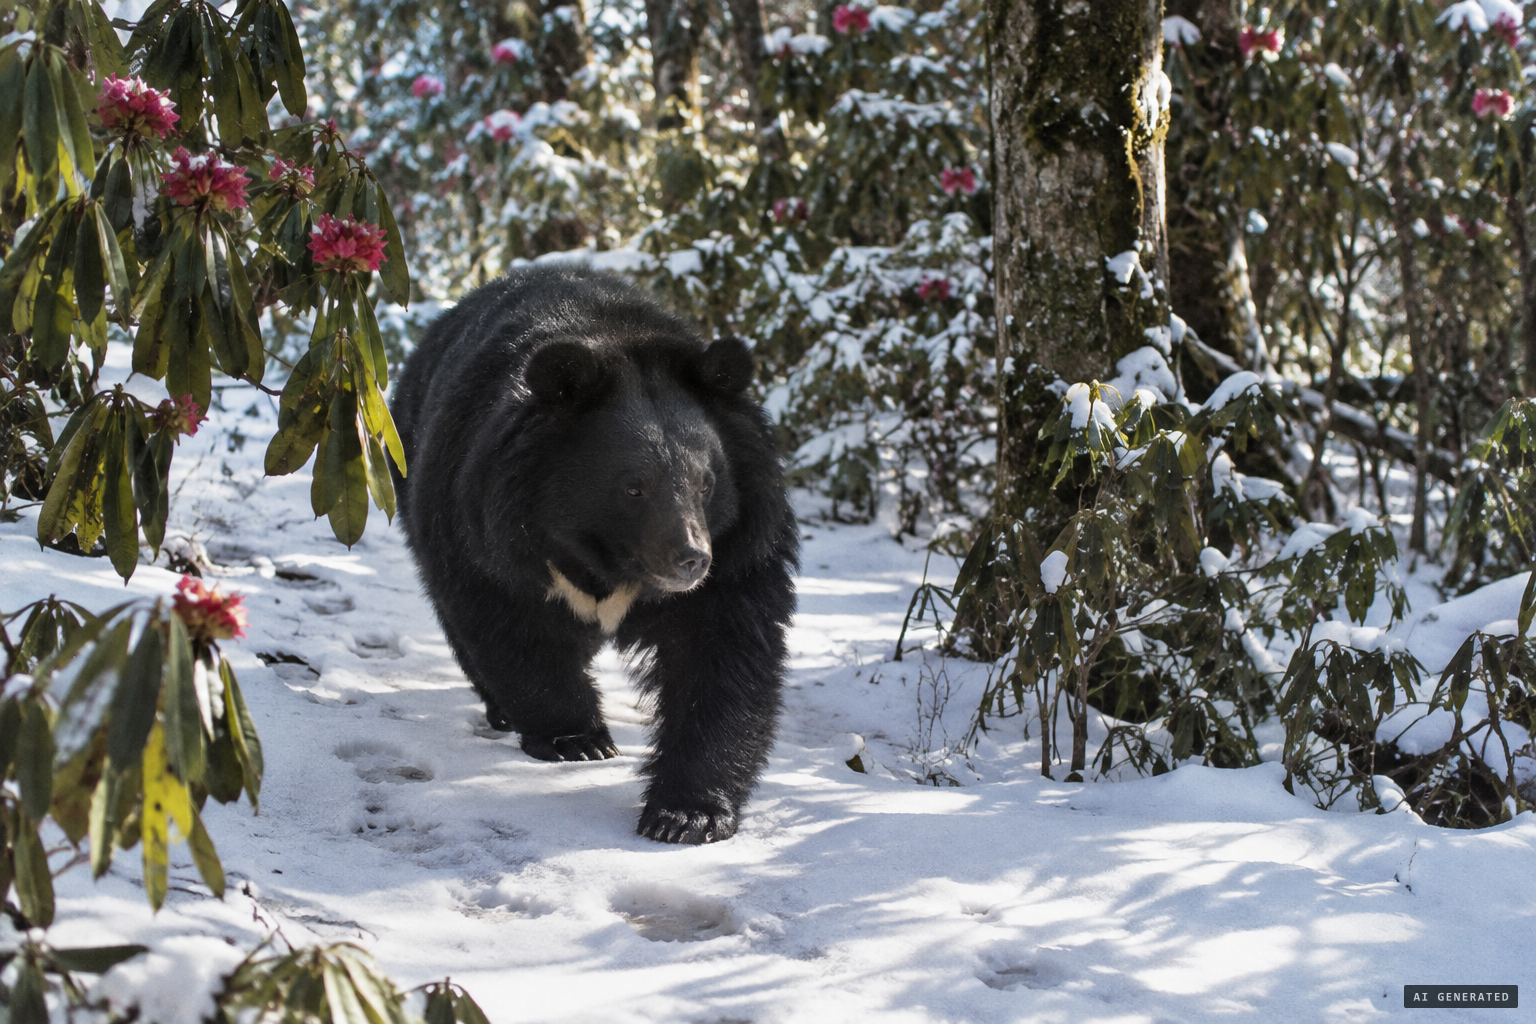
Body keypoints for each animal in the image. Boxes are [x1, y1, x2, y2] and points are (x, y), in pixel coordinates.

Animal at [389, 267, 799, 844]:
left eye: (707, 481)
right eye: (633, 488)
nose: (691, 559)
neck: (606, 557)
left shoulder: (742, 545)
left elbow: (723, 650)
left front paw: (687, 815)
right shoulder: (485, 518)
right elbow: (507, 621)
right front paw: (578, 740)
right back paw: (504, 712)